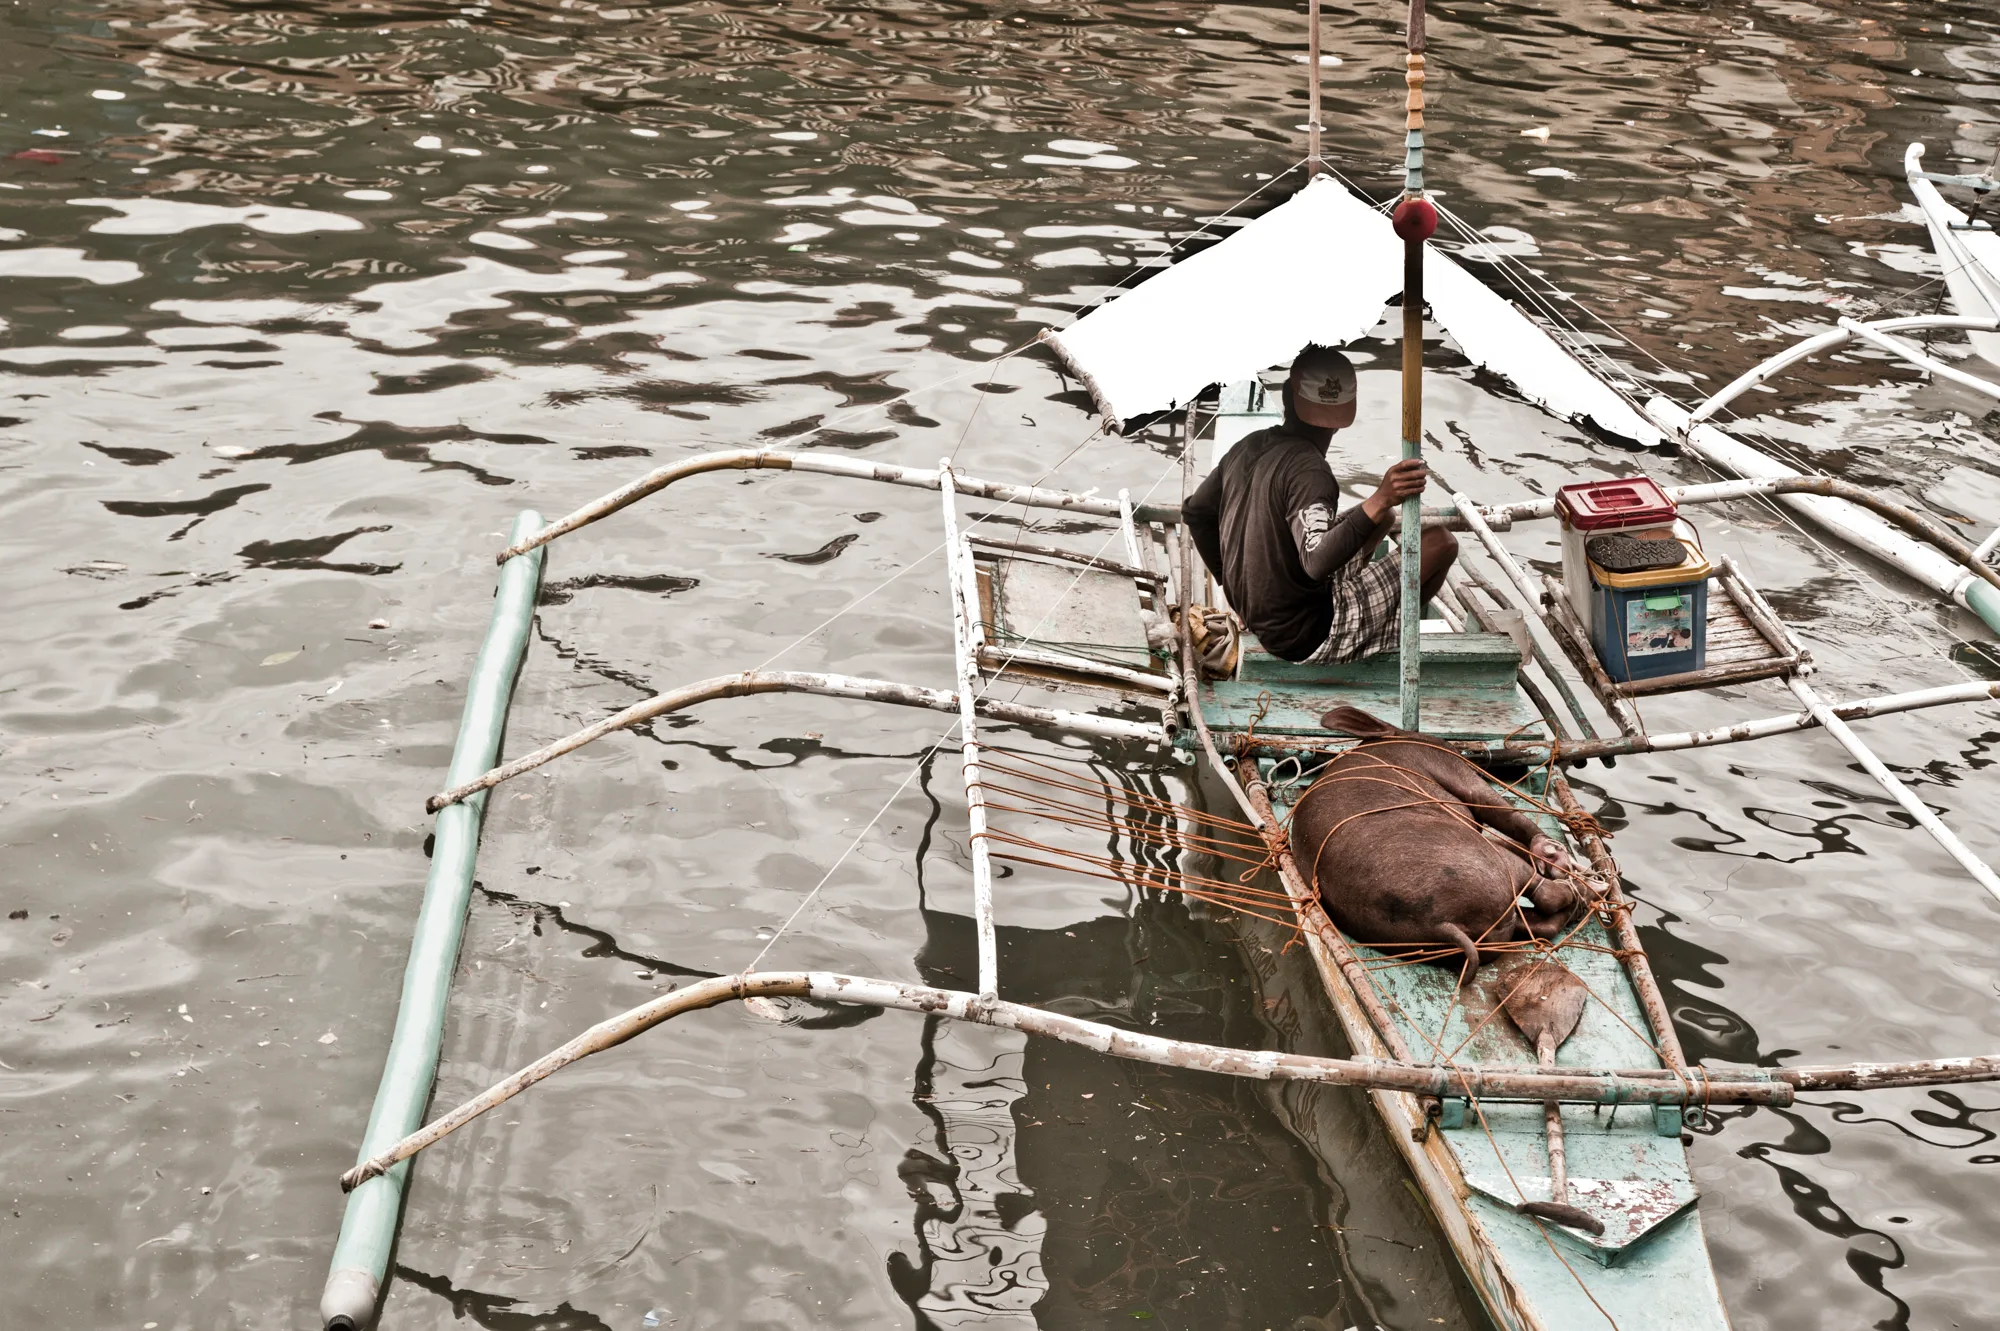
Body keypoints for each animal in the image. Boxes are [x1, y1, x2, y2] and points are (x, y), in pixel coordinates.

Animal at [1288, 706, 1586, 985]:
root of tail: (1439, 925)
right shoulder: (1447, 765)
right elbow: (1501, 811)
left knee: (1536, 924)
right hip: (1489, 863)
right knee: (1545, 894)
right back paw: (1580, 894)